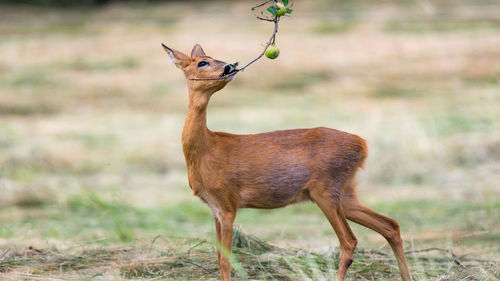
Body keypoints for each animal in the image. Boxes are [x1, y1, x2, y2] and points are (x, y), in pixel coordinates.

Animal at [162, 42, 412, 280]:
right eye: (202, 62)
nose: (230, 66)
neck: (205, 149)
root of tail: (362, 145)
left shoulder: (227, 202)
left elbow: (226, 260)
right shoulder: (214, 207)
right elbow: (218, 255)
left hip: (326, 189)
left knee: (350, 241)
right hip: (345, 192)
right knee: (390, 225)